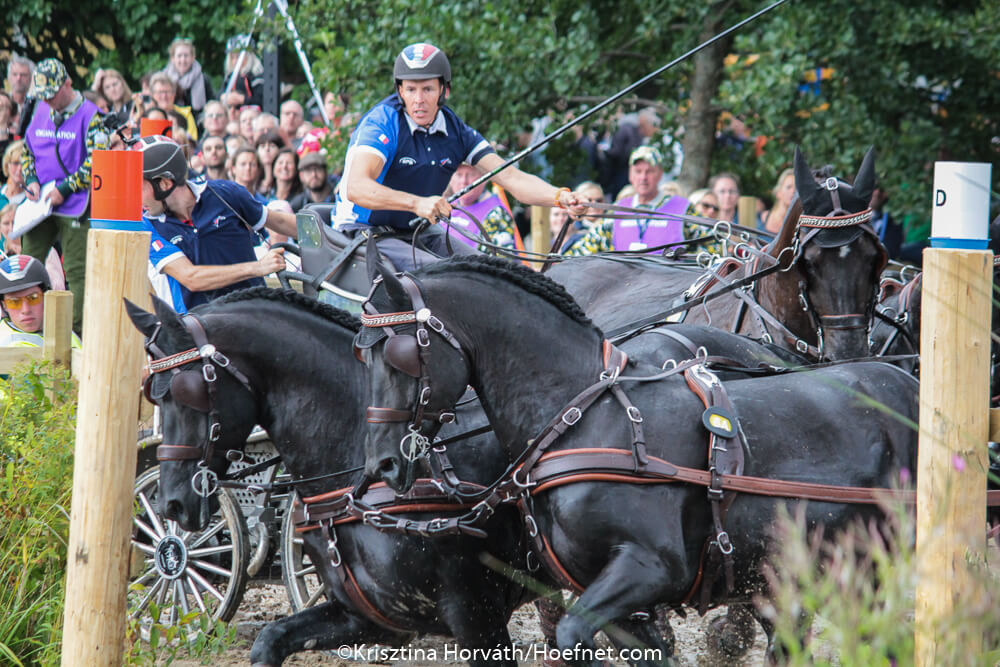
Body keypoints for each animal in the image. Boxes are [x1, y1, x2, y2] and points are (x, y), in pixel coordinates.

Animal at [126, 290, 540, 667]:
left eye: (186, 392)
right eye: (153, 395)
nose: (171, 503)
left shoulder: (476, 613)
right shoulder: (369, 616)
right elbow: (270, 639)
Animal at [364, 256, 916, 664]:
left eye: (399, 356)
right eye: (361, 353)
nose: (381, 466)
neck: (583, 417)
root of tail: (904, 380)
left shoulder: (651, 568)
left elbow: (572, 633)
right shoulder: (614, 597)